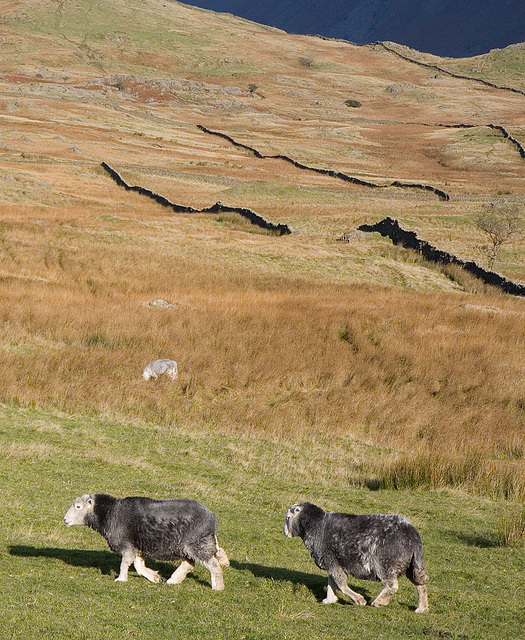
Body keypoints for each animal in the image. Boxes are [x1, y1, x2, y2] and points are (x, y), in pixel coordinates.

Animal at [64, 496, 228, 592]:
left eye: (78, 506)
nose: (65, 519)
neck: (111, 514)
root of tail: (213, 518)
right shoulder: (136, 546)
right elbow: (138, 565)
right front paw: (154, 577)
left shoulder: (127, 545)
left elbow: (125, 564)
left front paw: (121, 579)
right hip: (190, 545)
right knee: (189, 563)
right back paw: (173, 580)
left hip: (197, 544)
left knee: (214, 566)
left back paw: (218, 587)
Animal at [284, 502, 428, 612]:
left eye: (288, 517)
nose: (285, 532)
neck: (316, 526)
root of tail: (412, 536)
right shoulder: (333, 562)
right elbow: (332, 581)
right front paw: (329, 599)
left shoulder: (329, 559)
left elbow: (340, 583)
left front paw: (359, 600)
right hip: (413, 564)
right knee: (421, 584)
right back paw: (422, 608)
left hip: (385, 563)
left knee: (392, 586)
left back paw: (379, 602)